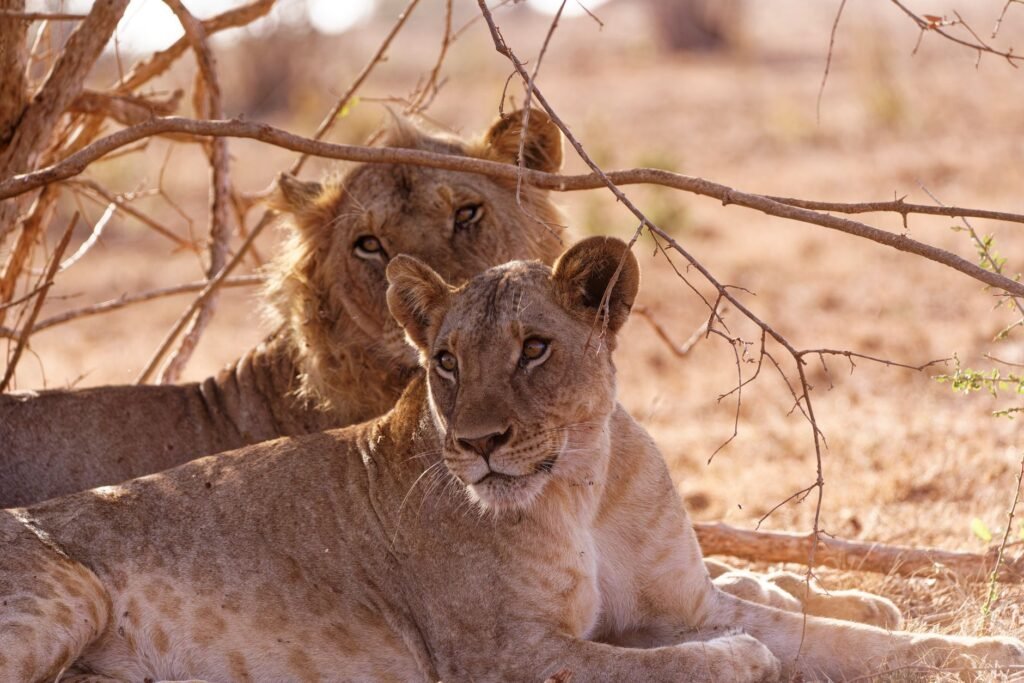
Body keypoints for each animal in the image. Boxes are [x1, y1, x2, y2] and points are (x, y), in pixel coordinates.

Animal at [2, 236, 1021, 682]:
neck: (584, 482)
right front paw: (741, 660)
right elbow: (659, 668)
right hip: (65, 597)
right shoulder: (499, 653)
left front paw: (985, 648)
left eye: (534, 348)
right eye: (446, 359)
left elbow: (851, 639)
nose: (477, 444)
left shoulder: (682, 601)